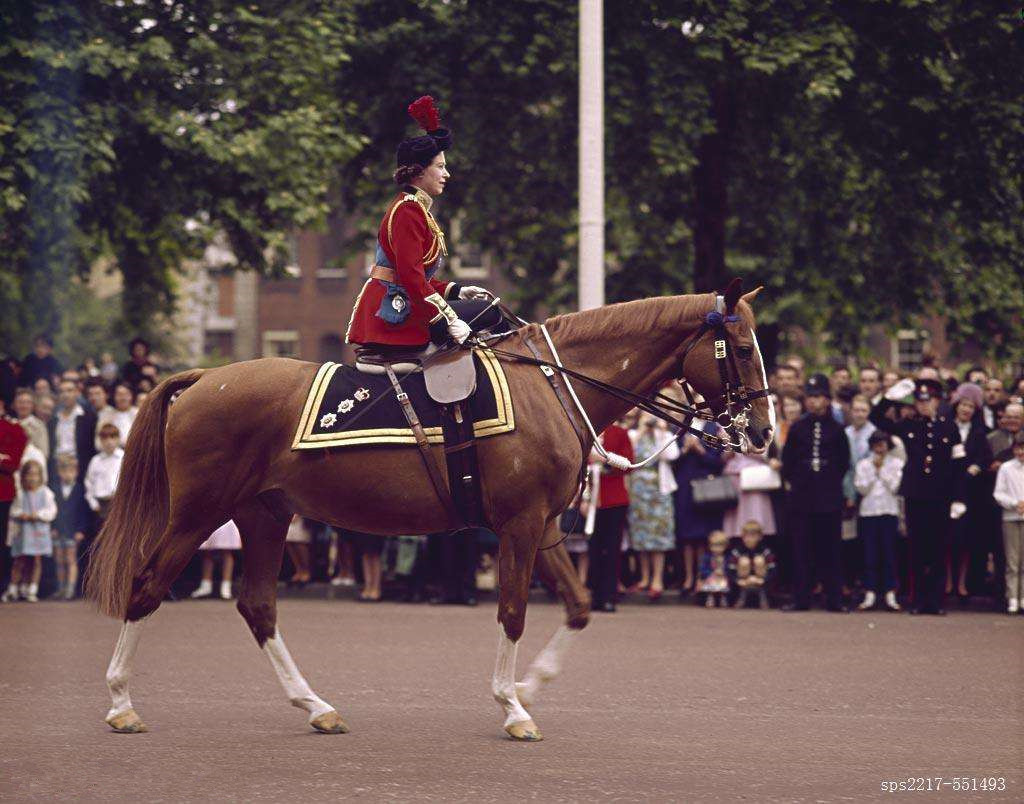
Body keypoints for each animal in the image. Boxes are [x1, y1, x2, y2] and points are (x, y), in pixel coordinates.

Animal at [88, 282, 770, 741]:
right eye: (739, 346)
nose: (761, 432)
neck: (552, 386)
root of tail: (206, 378)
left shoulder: (544, 527)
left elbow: (577, 606)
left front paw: (529, 686)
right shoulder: (521, 526)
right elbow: (514, 612)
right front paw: (512, 705)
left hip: (264, 517)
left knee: (258, 607)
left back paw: (316, 706)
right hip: (197, 514)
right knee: (147, 585)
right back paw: (120, 703)